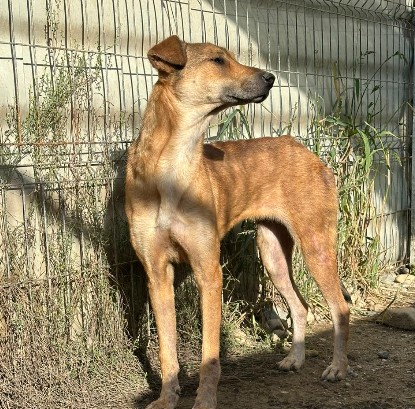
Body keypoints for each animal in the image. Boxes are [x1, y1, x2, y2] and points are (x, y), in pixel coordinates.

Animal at [125, 35, 350, 409]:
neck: (171, 165)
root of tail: (305, 150)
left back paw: (338, 368)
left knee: (341, 308)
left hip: (316, 245)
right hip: (272, 253)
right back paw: (295, 359)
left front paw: (204, 401)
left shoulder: (209, 272)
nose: (271, 78)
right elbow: (168, 352)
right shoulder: (156, 275)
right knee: (300, 306)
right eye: (218, 60)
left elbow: (210, 356)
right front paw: (167, 398)